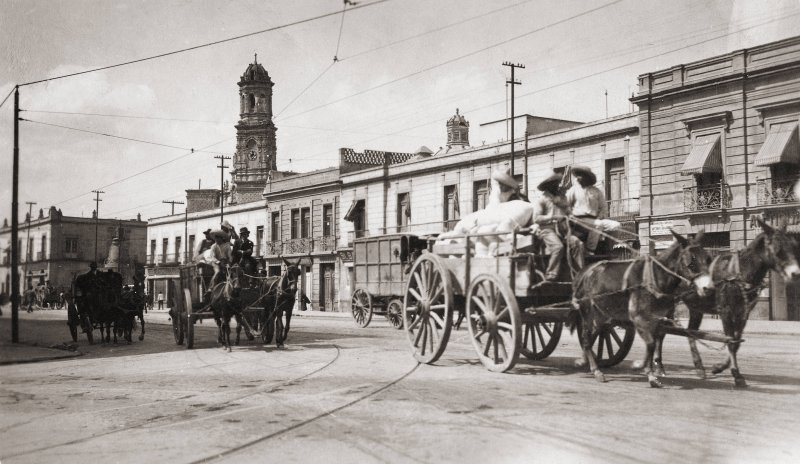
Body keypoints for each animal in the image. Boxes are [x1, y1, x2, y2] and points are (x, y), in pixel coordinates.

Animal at [572, 230, 716, 386]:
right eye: (692, 261)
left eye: (708, 259)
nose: (708, 288)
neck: (655, 277)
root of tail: (584, 271)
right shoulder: (638, 317)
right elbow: (651, 343)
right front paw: (643, 368)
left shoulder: (656, 319)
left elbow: (653, 344)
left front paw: (650, 372)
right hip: (587, 310)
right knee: (586, 337)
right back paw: (596, 370)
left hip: (602, 313)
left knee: (594, 334)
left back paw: (583, 360)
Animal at [672, 219, 796, 386]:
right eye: (777, 249)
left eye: (792, 246)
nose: (795, 273)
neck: (739, 273)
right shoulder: (726, 311)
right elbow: (731, 341)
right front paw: (736, 374)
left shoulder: (744, 312)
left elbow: (736, 341)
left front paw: (719, 367)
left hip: (696, 308)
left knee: (690, 333)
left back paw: (699, 367)